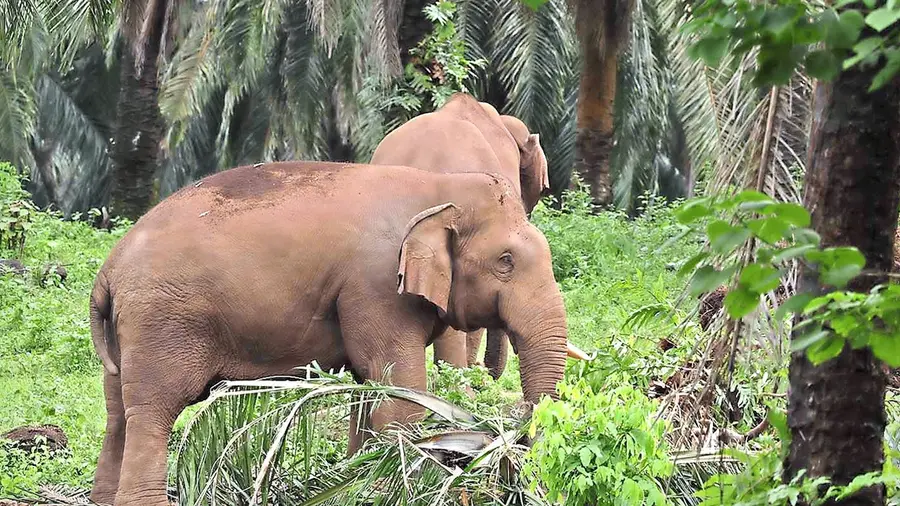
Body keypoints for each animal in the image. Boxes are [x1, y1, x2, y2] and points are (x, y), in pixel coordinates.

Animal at [87, 161, 570, 506]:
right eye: (506, 261)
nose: (513, 461)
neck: (439, 186)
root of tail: (108, 271)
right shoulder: (375, 285)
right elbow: (401, 390)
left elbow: (368, 384)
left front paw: (355, 480)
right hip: (162, 321)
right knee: (153, 412)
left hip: (127, 332)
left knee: (117, 414)